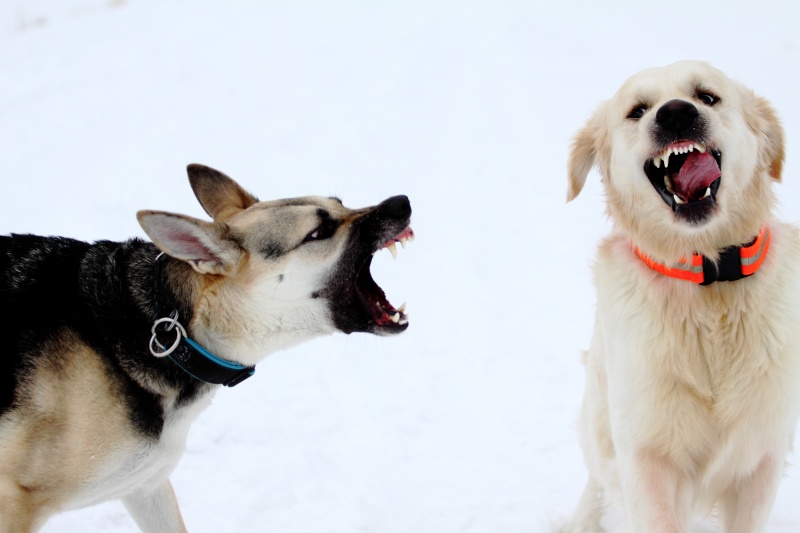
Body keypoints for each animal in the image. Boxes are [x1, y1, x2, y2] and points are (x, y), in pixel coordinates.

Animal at [0, 164, 412, 528]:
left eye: (339, 203)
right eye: (319, 231)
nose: (402, 202)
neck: (174, 332)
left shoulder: (146, 484)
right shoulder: (15, 502)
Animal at [564, 60, 800, 528]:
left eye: (707, 96)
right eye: (638, 110)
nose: (675, 113)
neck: (706, 278)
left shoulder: (761, 457)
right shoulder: (646, 457)